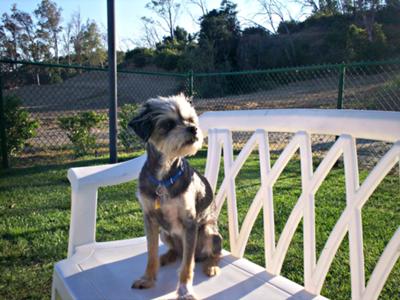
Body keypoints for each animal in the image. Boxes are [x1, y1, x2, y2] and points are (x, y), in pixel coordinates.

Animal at [128, 94, 222, 300]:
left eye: (191, 120)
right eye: (169, 124)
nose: (194, 129)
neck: (164, 176)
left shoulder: (190, 222)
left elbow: (187, 265)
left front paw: (185, 290)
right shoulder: (150, 219)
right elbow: (151, 253)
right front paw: (148, 278)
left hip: (208, 232)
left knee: (212, 254)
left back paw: (211, 266)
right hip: (165, 233)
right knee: (176, 252)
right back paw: (165, 257)